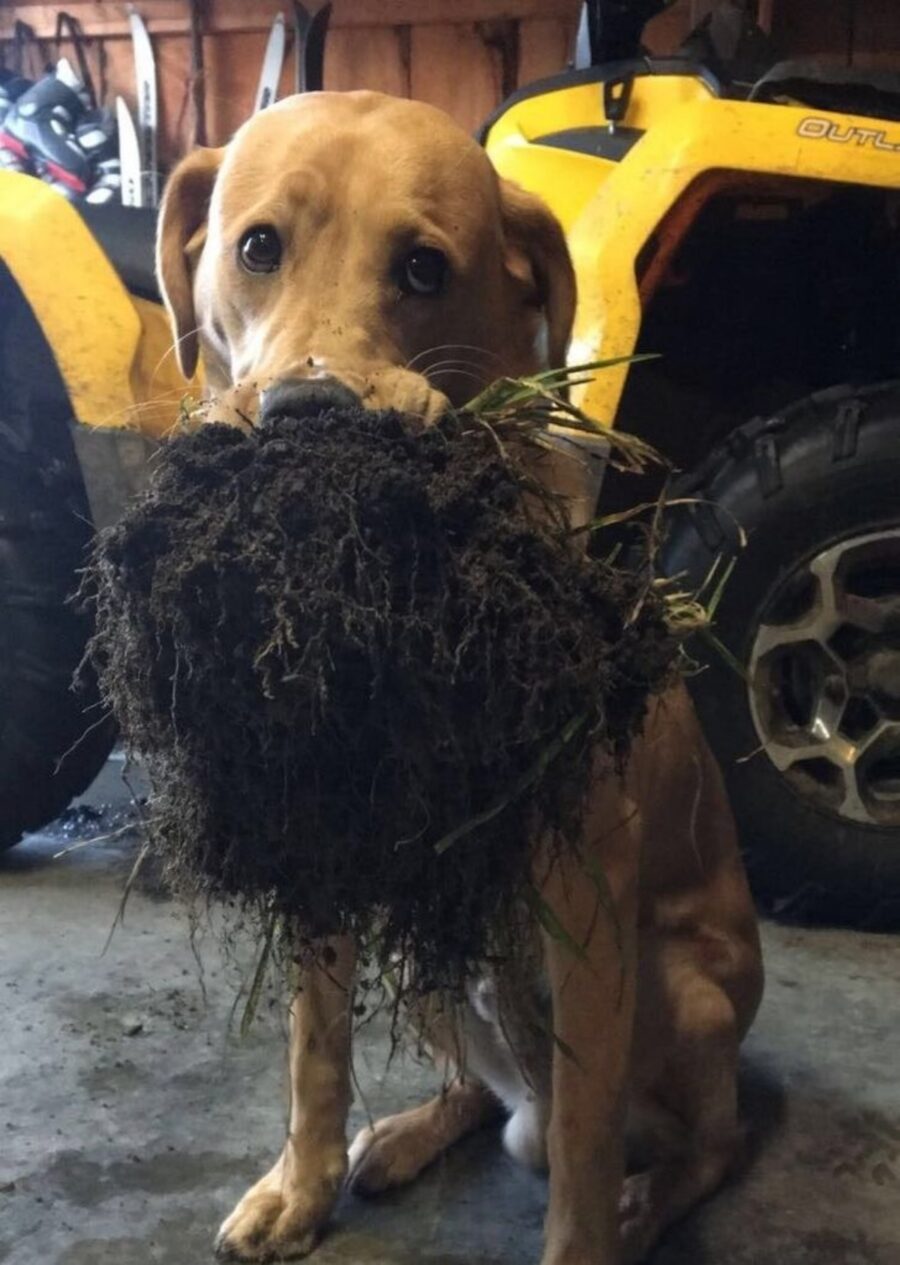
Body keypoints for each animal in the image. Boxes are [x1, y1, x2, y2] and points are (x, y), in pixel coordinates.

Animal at [158, 91, 764, 1265]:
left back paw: (646, 1199)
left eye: (424, 268)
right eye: (258, 247)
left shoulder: (587, 904)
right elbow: (313, 1051)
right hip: (425, 951)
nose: (310, 417)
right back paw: (405, 1134)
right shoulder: (322, 847)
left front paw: (588, 1236)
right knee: (484, 1092)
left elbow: (581, 1140)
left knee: (704, 1142)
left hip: (679, 988)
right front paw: (298, 1189)